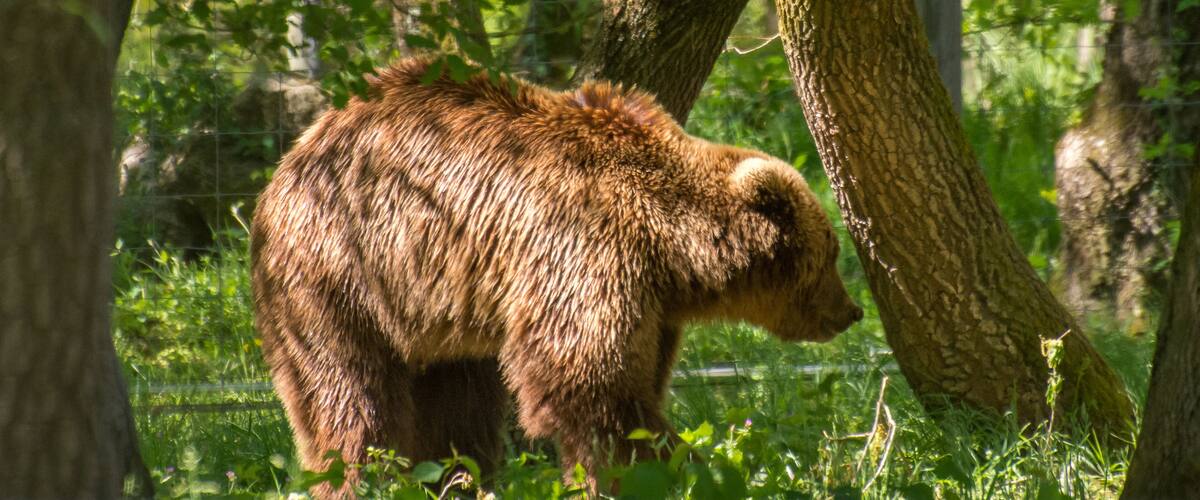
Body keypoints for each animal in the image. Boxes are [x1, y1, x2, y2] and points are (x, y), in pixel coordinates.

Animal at [251, 57, 863, 495]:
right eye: (833, 251)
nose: (851, 311)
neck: (672, 248)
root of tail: (288, 161)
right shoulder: (582, 250)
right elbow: (591, 385)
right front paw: (672, 468)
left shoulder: (652, 306)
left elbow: (631, 382)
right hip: (338, 273)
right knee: (350, 398)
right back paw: (362, 478)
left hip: (441, 308)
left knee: (458, 405)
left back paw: (459, 479)